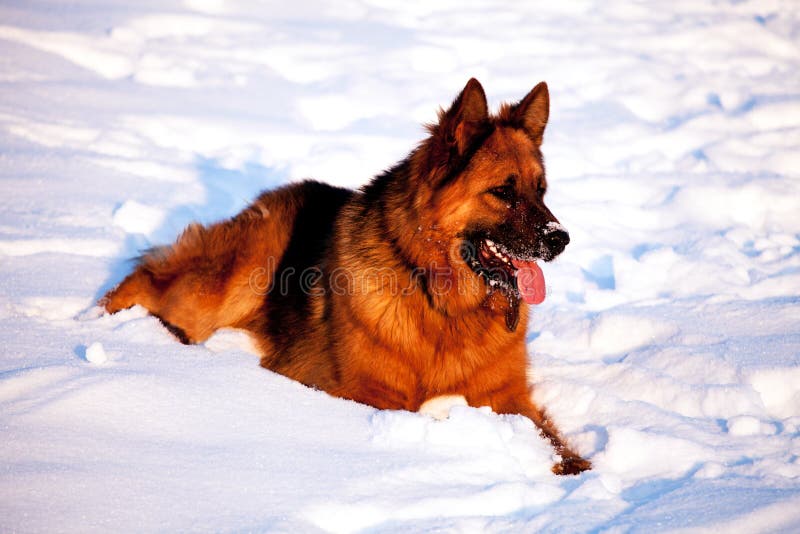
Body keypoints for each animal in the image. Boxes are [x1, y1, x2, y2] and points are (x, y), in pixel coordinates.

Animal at [103, 79, 592, 478]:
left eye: (540, 190)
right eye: (503, 192)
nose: (561, 239)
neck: (439, 301)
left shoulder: (507, 398)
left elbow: (551, 439)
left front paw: (577, 471)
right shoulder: (369, 395)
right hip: (232, 280)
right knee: (144, 281)